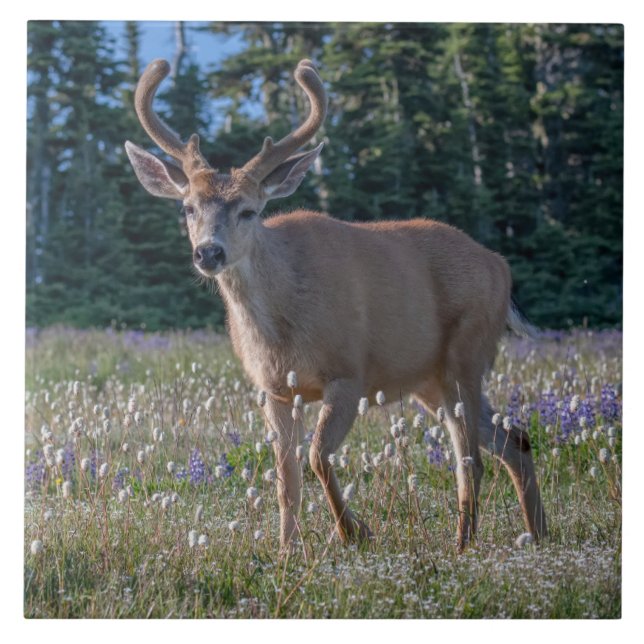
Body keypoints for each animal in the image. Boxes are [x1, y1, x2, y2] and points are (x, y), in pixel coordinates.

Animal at [125, 57, 547, 553]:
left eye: (249, 210)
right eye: (188, 207)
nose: (208, 252)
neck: (280, 326)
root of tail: (501, 265)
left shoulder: (349, 373)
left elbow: (316, 457)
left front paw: (353, 532)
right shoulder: (274, 389)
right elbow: (286, 479)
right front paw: (287, 550)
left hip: (467, 351)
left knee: (471, 461)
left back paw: (464, 543)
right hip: (431, 380)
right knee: (514, 439)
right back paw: (538, 532)